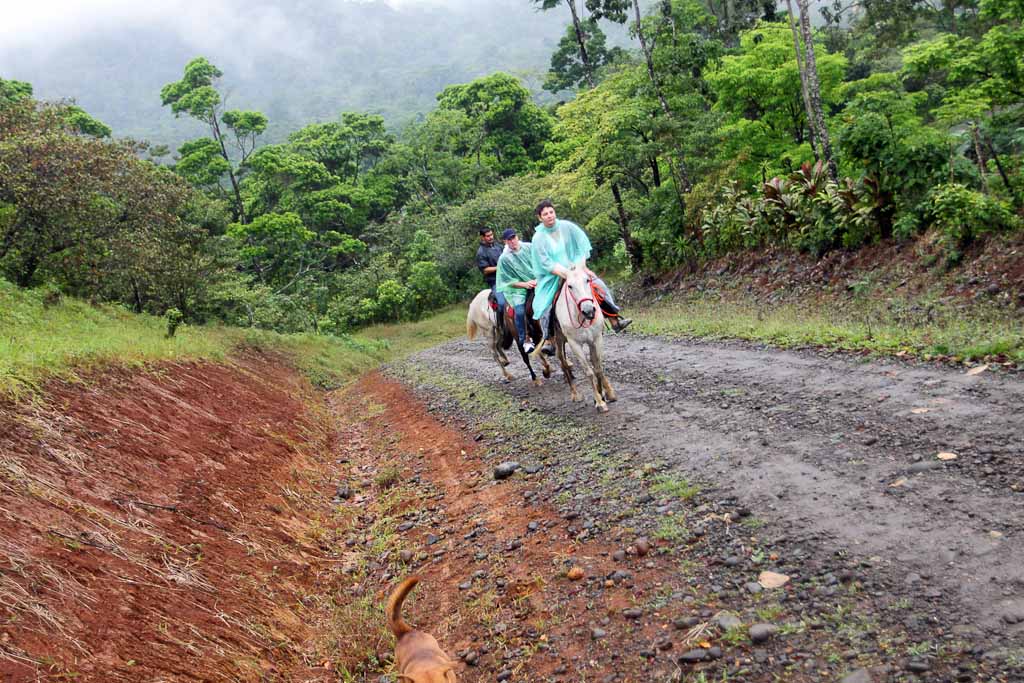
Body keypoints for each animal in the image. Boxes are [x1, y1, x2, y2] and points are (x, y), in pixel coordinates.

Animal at [552, 266, 614, 413]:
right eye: (569, 286)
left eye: (587, 280)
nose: (588, 310)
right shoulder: (575, 344)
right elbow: (589, 372)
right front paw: (599, 402)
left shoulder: (596, 339)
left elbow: (598, 369)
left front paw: (602, 396)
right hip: (559, 339)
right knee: (562, 362)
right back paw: (575, 394)